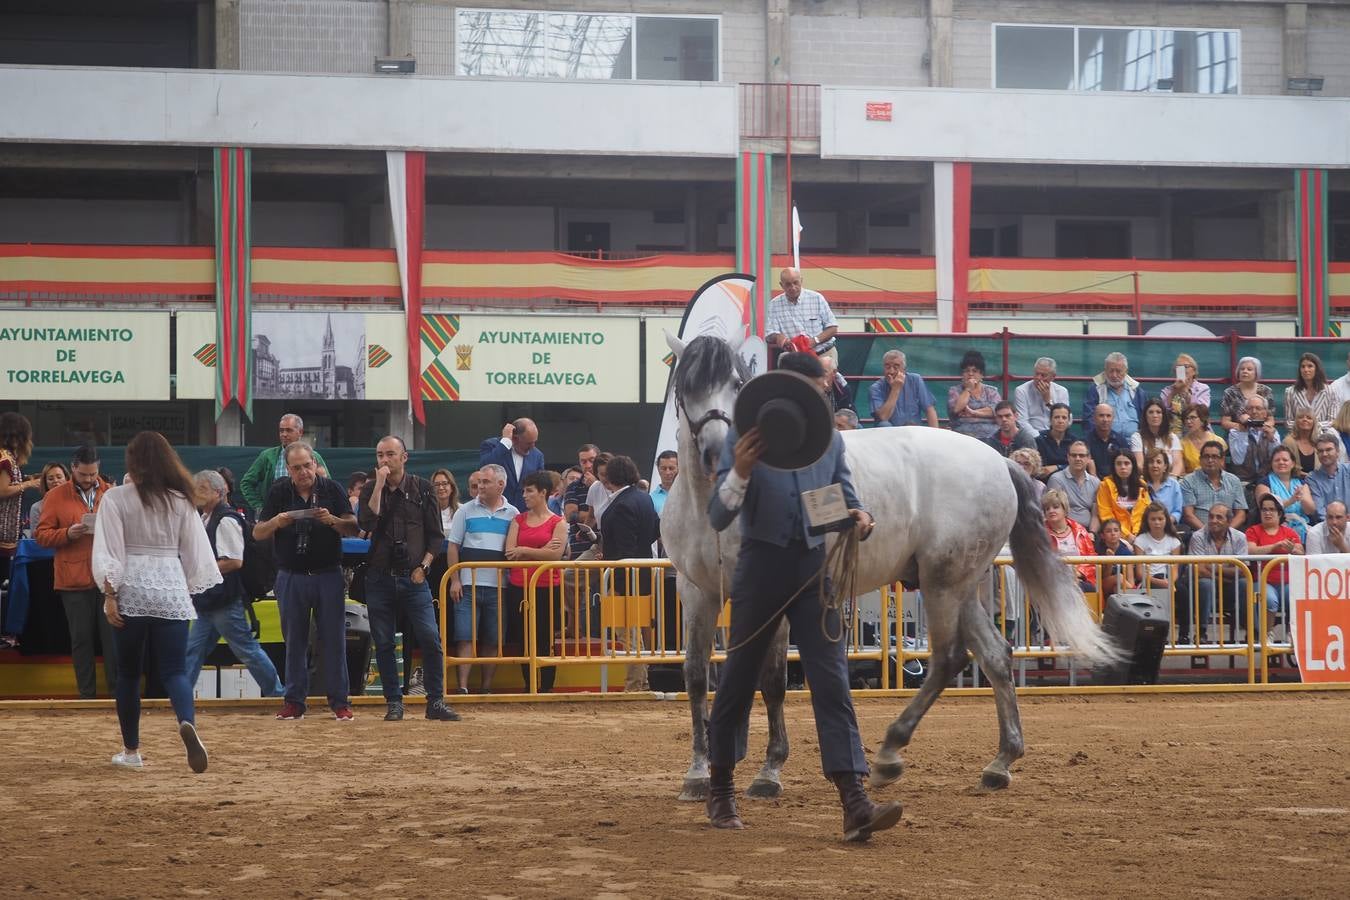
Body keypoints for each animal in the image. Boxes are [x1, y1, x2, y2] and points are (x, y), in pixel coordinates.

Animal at [661, 335, 1117, 804]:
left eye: (735, 383)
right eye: (687, 387)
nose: (718, 452)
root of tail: (999, 462)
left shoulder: (773, 593)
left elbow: (771, 680)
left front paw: (769, 772)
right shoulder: (697, 593)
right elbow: (695, 675)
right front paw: (697, 773)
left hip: (941, 583)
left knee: (948, 658)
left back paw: (890, 753)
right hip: (960, 584)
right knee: (994, 654)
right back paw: (1000, 762)